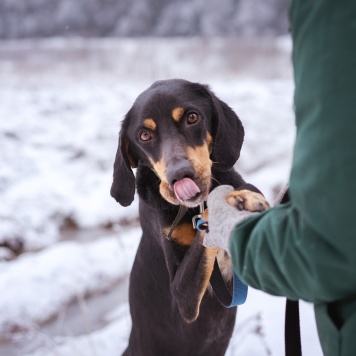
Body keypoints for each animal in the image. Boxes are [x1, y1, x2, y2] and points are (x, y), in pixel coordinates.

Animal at [110, 79, 268, 354]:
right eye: (144, 135)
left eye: (192, 117)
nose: (179, 176)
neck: (193, 208)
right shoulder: (183, 299)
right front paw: (227, 203)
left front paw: (245, 195)